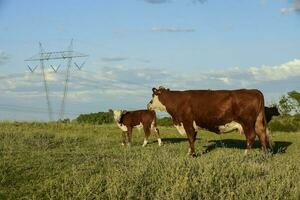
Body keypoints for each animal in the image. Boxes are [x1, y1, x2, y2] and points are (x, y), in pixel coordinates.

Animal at [146, 86, 274, 156]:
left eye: (152, 96)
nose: (148, 105)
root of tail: (254, 91)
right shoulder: (193, 125)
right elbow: (192, 139)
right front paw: (189, 153)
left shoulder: (187, 122)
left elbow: (190, 138)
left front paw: (192, 155)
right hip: (257, 121)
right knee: (262, 135)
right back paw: (264, 154)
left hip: (247, 122)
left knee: (251, 136)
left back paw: (246, 154)